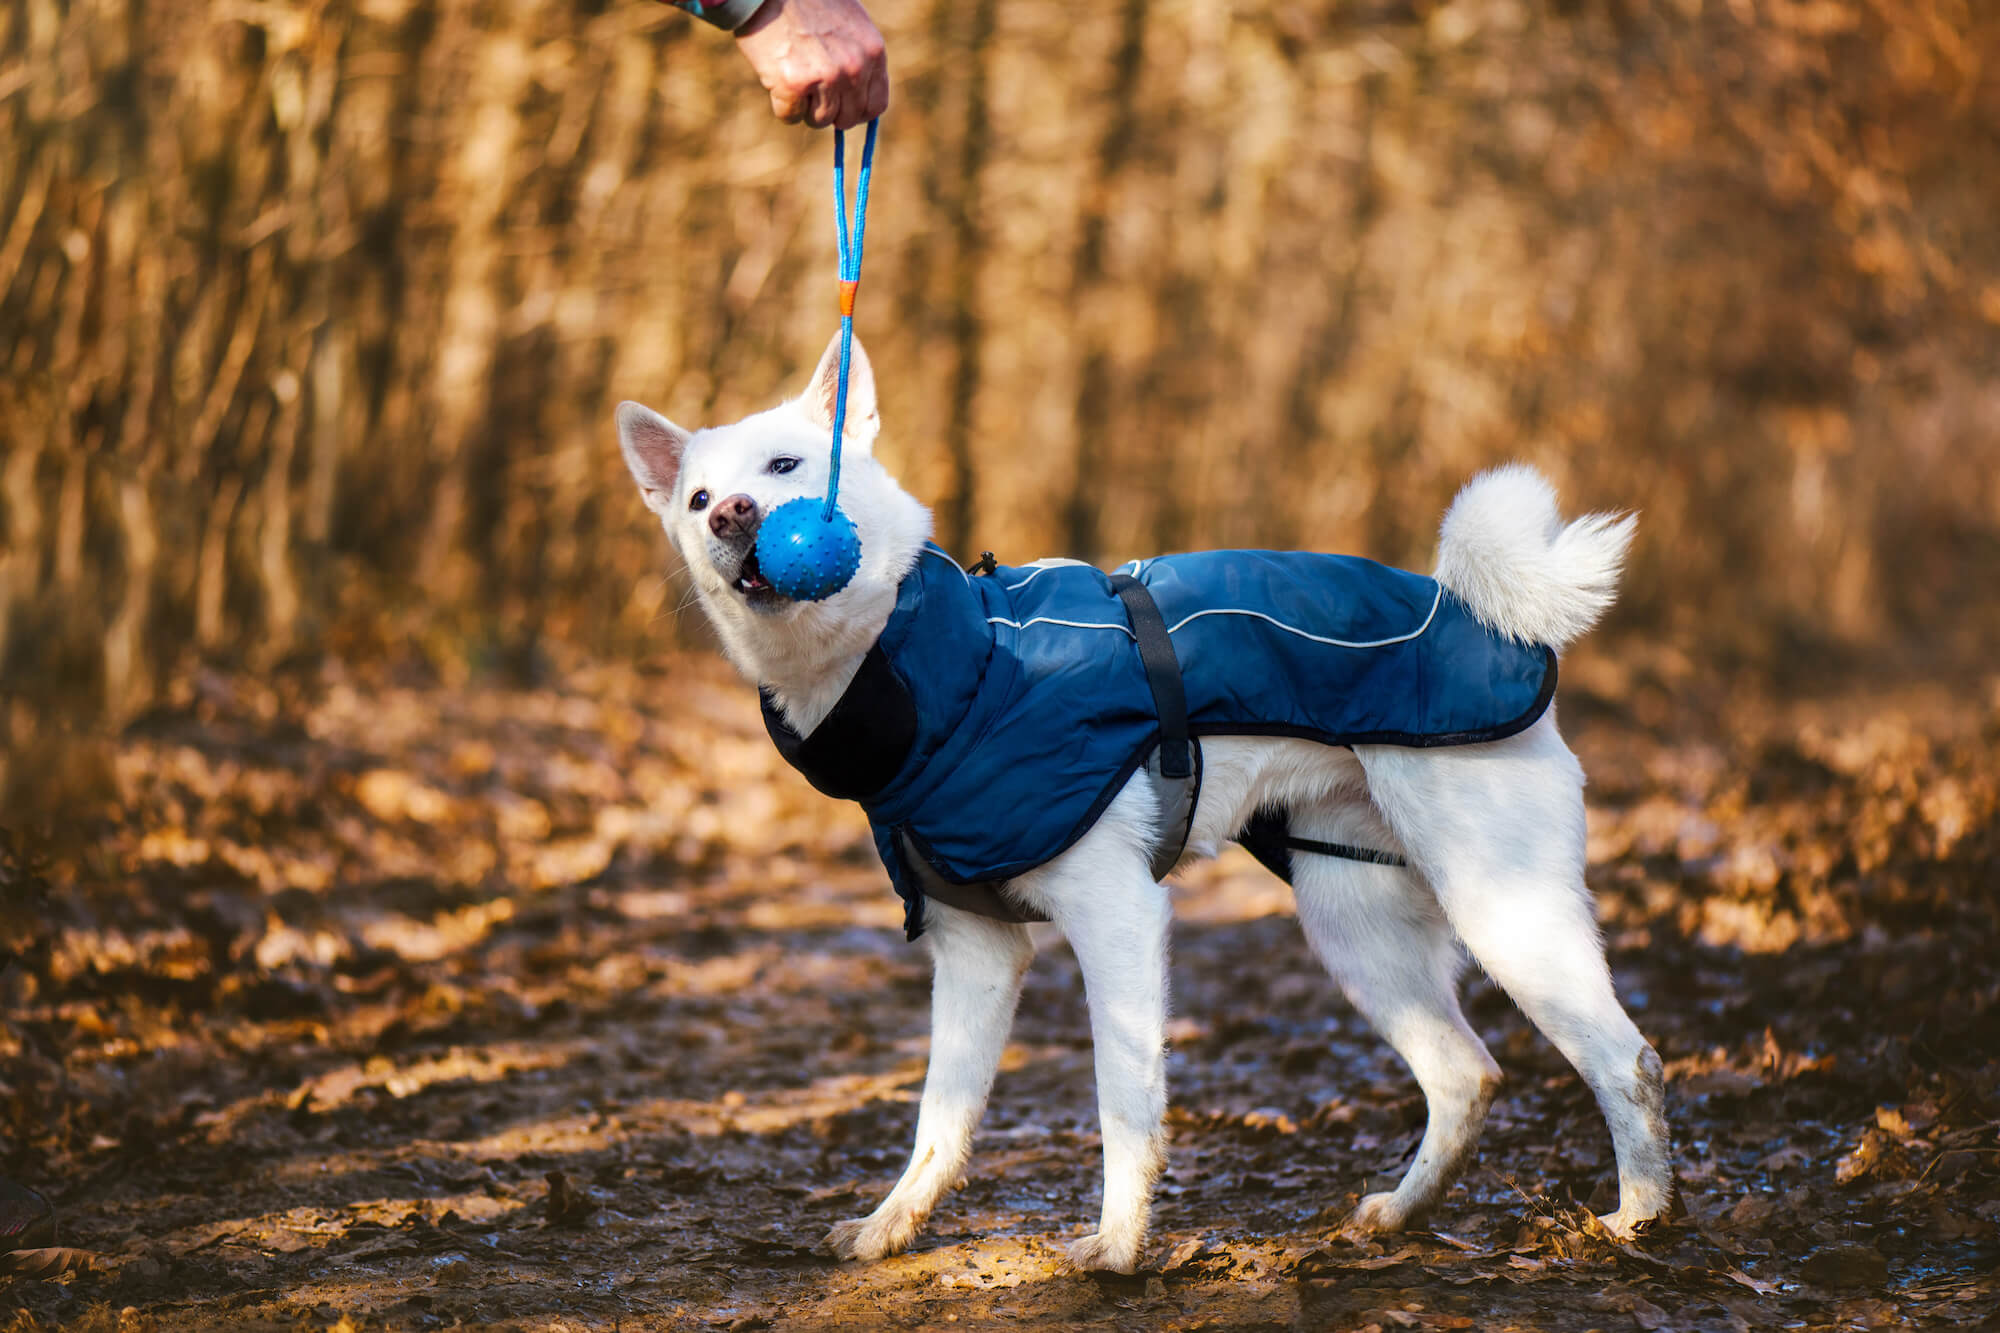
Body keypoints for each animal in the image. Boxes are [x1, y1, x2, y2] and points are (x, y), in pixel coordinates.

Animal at [620, 332, 1672, 1264]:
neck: (939, 666)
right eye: (697, 497)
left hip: (1502, 909)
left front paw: (1121, 1245)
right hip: (1354, 924)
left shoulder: (1116, 914)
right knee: (1465, 1076)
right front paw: (892, 1226)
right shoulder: (975, 949)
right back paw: (1402, 1215)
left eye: (787, 464)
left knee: (1629, 1061)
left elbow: (1124, 1100)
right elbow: (940, 1118)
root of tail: (1480, 612)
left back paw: (1636, 1223)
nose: (731, 516)